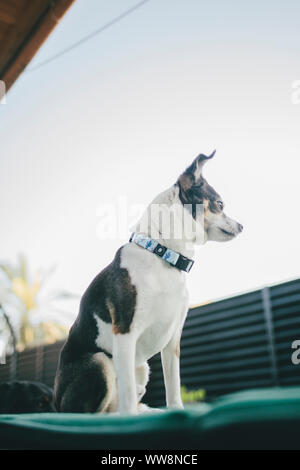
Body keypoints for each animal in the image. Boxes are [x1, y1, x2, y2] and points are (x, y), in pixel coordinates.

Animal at [53, 152, 241, 414]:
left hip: (141, 368)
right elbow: (128, 392)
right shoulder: (125, 331)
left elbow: (173, 386)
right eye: (220, 205)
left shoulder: (172, 340)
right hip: (101, 362)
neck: (163, 255)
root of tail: (55, 403)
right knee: (94, 413)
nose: (242, 226)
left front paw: (176, 411)